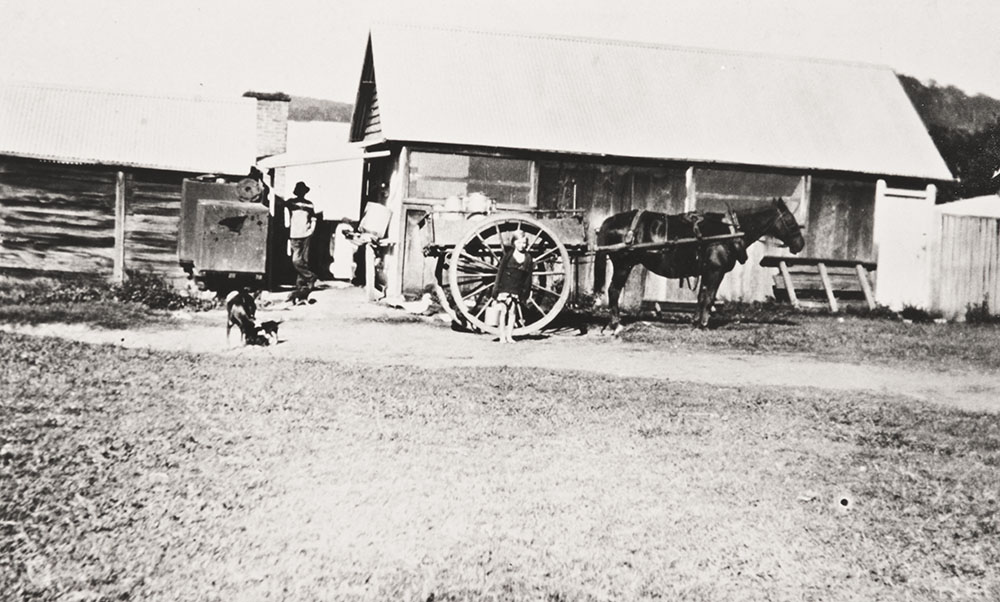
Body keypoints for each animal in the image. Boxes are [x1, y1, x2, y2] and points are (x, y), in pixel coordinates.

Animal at [592, 197, 804, 328]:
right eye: (790, 221)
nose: (800, 244)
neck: (728, 233)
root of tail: (610, 221)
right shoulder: (716, 272)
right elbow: (709, 297)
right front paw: (703, 324)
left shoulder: (706, 271)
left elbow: (702, 296)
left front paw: (695, 321)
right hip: (623, 265)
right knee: (613, 290)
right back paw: (616, 323)